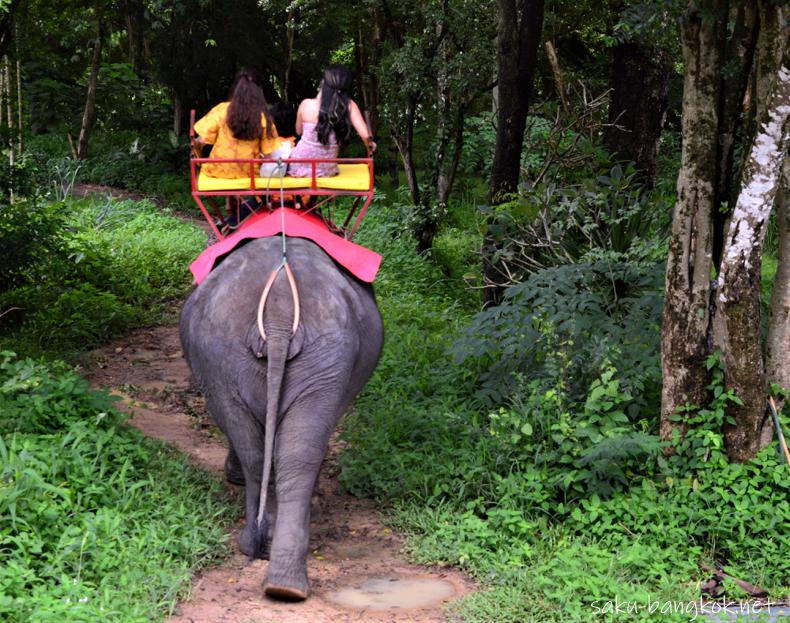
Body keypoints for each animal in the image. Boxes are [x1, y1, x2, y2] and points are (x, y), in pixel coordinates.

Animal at [183, 234, 386, 600]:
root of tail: (280, 307)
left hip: (240, 353)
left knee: (261, 448)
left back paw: (271, 564)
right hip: (306, 354)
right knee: (288, 451)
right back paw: (281, 575)